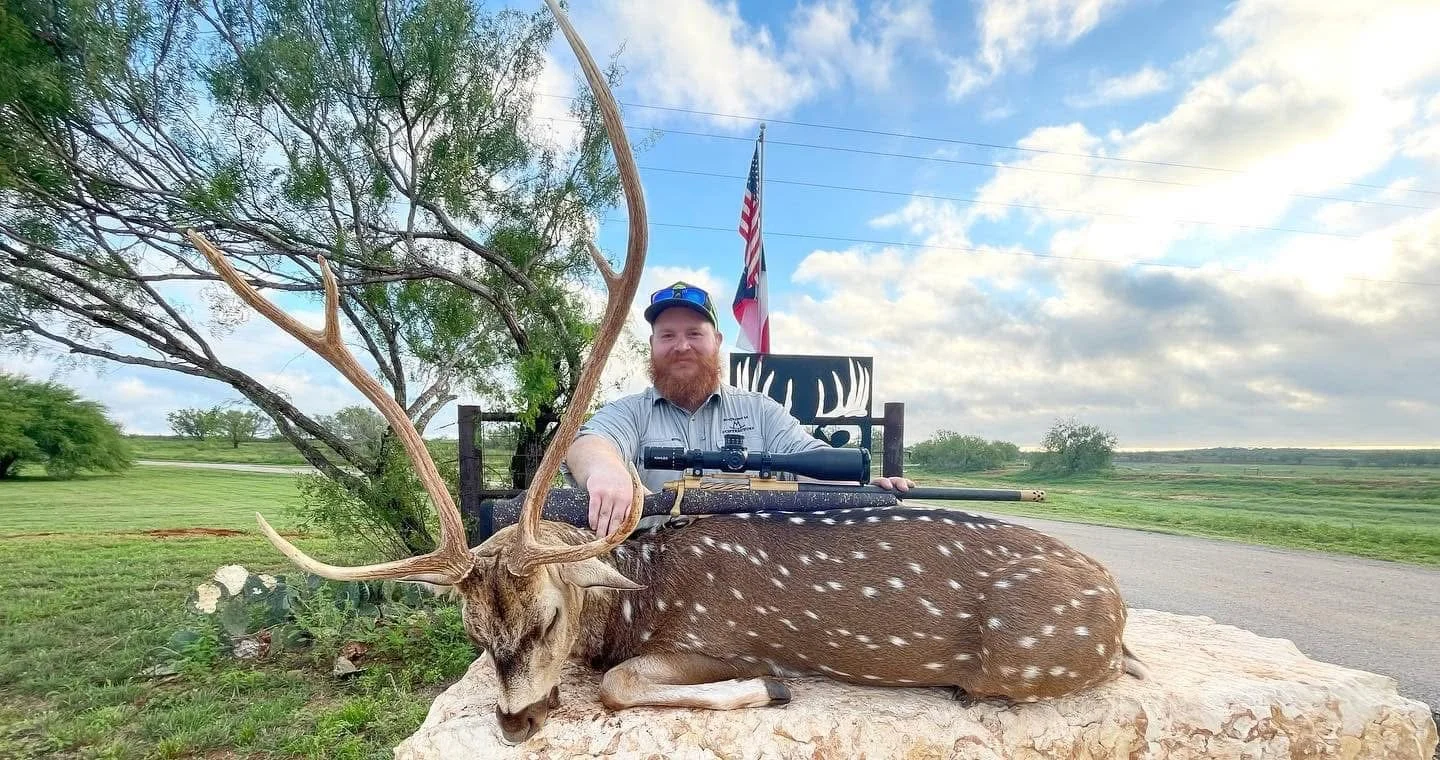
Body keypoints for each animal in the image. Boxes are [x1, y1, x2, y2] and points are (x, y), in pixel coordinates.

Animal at [187, 0, 1146, 746]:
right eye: (469, 627)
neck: (630, 601)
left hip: (1037, 659)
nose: (517, 722)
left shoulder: (710, 637)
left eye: (546, 615)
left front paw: (773, 684)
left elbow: (624, 684)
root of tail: (1119, 608)